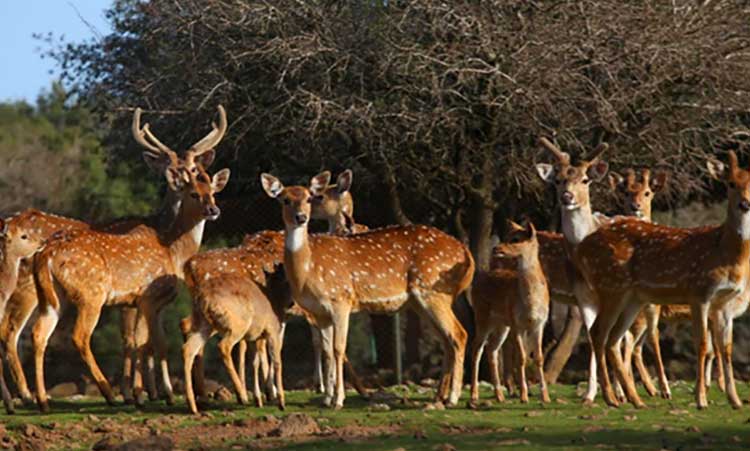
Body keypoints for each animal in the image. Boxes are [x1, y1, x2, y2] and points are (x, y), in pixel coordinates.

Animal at [31, 106, 232, 414]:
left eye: (210, 188)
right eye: (192, 192)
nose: (213, 210)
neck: (172, 248)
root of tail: (45, 255)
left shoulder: (142, 302)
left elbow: (146, 343)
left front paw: (147, 394)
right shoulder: (147, 297)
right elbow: (151, 343)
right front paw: (155, 394)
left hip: (53, 297)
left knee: (38, 333)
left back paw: (43, 400)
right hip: (91, 293)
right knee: (79, 335)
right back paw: (107, 393)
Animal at [262, 171, 476, 408]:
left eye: (311, 197)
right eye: (285, 199)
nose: (301, 217)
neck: (307, 271)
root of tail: (466, 252)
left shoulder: (341, 300)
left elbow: (339, 349)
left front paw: (338, 399)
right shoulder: (319, 312)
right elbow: (327, 351)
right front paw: (326, 398)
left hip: (433, 291)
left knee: (459, 334)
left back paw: (453, 398)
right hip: (421, 302)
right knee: (447, 339)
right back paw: (439, 396)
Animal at [470, 221, 552, 408]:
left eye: (515, 238)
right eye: (506, 236)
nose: (496, 248)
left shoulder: (540, 324)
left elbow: (539, 357)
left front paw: (545, 397)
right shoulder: (517, 324)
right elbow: (521, 358)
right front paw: (524, 396)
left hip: (501, 325)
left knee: (492, 349)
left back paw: (499, 396)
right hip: (482, 316)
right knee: (476, 349)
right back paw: (474, 396)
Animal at [568, 151, 750, 410]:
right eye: (731, 183)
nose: (745, 204)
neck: (727, 254)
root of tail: (582, 248)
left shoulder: (724, 303)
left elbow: (725, 348)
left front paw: (735, 401)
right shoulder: (699, 293)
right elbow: (703, 345)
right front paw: (701, 399)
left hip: (633, 298)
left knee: (615, 339)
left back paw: (635, 400)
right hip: (611, 286)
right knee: (598, 333)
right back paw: (612, 397)